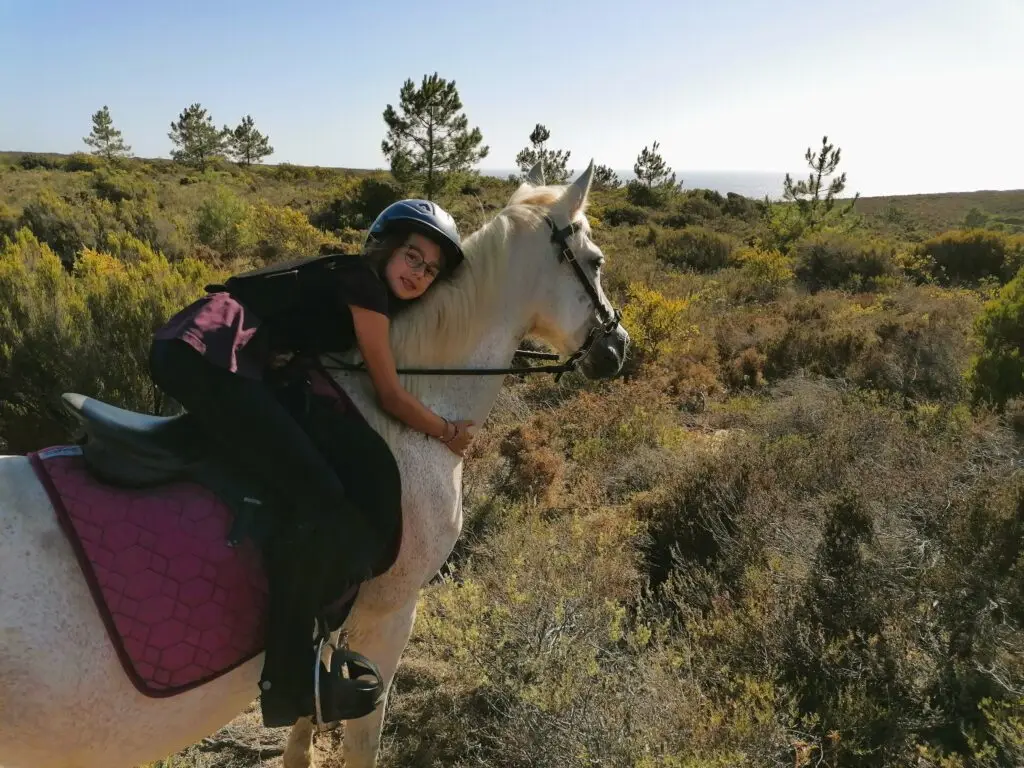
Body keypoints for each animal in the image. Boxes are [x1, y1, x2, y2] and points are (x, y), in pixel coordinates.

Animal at [0, 162, 622, 768]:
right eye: (595, 261)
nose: (619, 347)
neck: (405, 411)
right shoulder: (389, 613)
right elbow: (362, 739)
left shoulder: (336, 614)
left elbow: (308, 709)